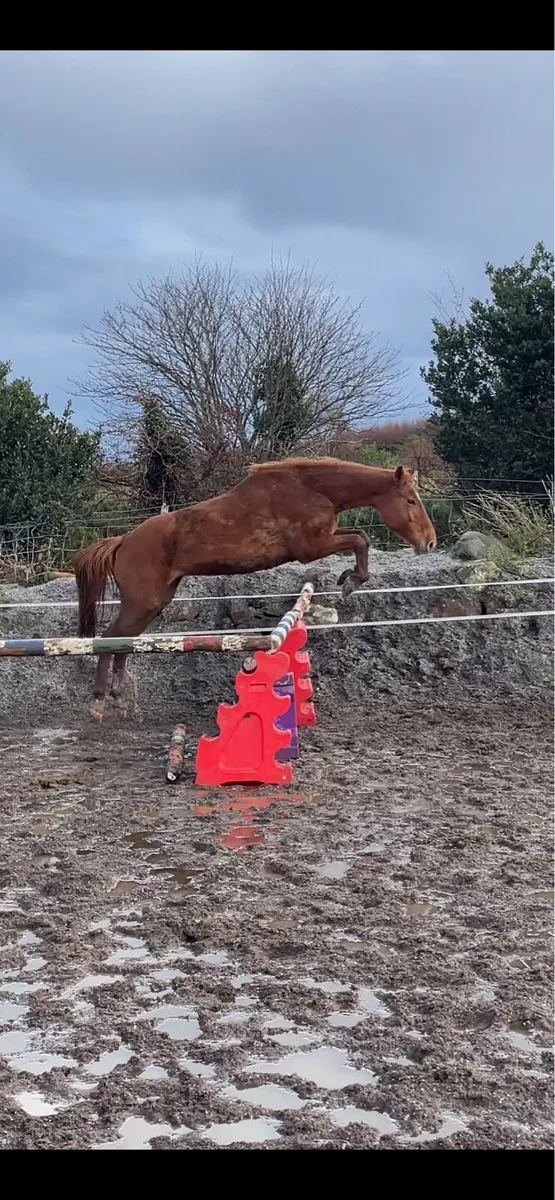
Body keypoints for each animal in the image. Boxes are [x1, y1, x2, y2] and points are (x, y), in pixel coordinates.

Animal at [74, 457, 437, 720]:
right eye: (410, 500)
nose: (430, 543)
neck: (315, 490)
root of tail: (123, 541)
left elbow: (360, 536)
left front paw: (350, 577)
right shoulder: (311, 548)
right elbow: (361, 539)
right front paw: (352, 580)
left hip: (153, 604)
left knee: (123, 642)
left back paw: (119, 699)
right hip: (142, 603)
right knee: (109, 639)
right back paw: (98, 703)